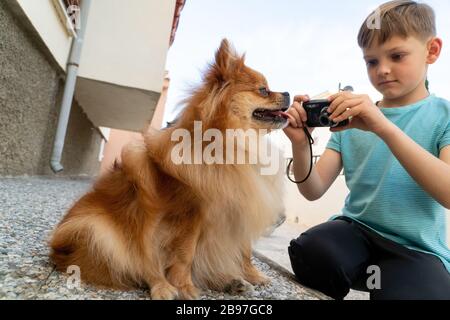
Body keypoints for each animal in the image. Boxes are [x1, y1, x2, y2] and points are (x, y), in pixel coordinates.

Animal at [47, 39, 290, 300]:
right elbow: (185, 255)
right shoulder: (192, 216)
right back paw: (163, 286)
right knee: (140, 264)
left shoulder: (239, 212)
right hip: (98, 229)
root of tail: (57, 250)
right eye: (263, 90)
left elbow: (244, 251)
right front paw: (184, 287)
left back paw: (231, 282)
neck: (228, 144)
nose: (288, 93)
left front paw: (251, 274)